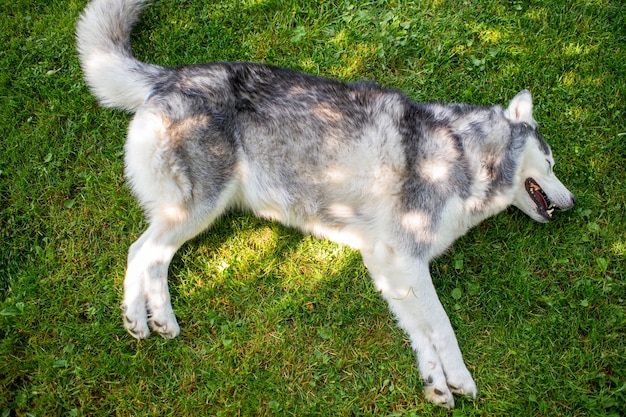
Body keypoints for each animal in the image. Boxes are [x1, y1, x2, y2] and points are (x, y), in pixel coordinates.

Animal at [75, 0, 572, 406]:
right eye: (549, 162)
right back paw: (138, 319)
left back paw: (158, 320)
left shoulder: (391, 265)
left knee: (154, 259)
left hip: (195, 212)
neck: (465, 154)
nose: (571, 202)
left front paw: (435, 382)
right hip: (198, 206)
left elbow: (421, 332)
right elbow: (442, 325)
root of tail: (171, 74)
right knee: (140, 251)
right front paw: (460, 378)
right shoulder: (407, 259)